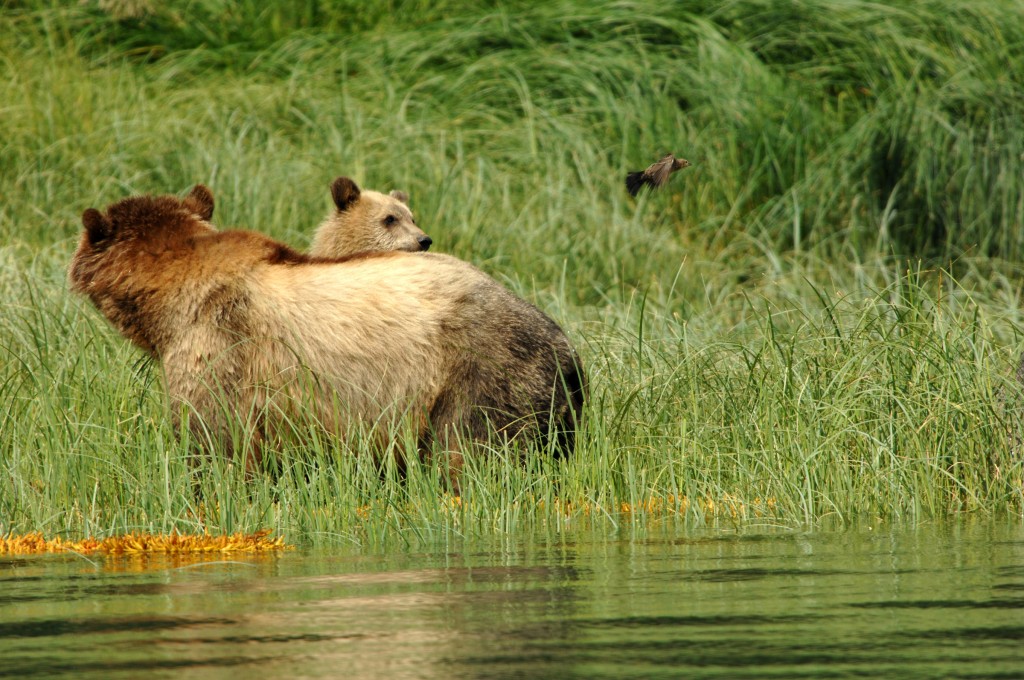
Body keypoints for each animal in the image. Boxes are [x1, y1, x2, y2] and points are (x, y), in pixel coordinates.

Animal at [70, 183, 585, 475]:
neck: (169, 302)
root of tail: (565, 345)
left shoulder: (218, 345)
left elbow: (216, 443)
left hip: (478, 376)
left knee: (472, 451)